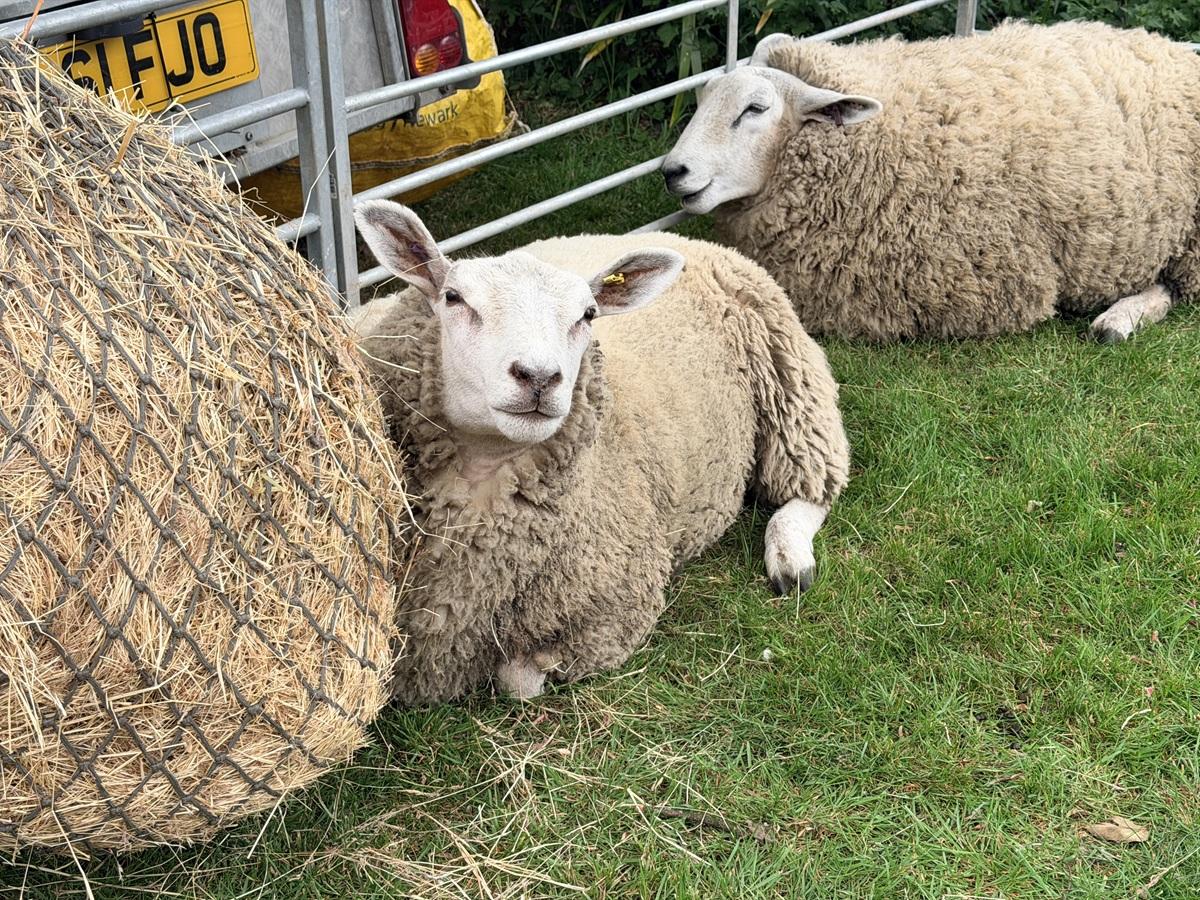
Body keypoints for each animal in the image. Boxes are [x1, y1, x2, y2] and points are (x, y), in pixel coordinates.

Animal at [350, 200, 850, 706]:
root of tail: (686, 241)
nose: (539, 377)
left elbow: (518, 682)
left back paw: (789, 557)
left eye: (588, 314)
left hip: (794, 384)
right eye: (453, 298)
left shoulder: (613, 613)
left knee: (815, 486)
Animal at [661, 21, 1200, 343]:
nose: (672, 171)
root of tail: (1177, 49)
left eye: (755, 109)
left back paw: (1119, 320)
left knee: (1175, 290)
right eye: (703, 98)